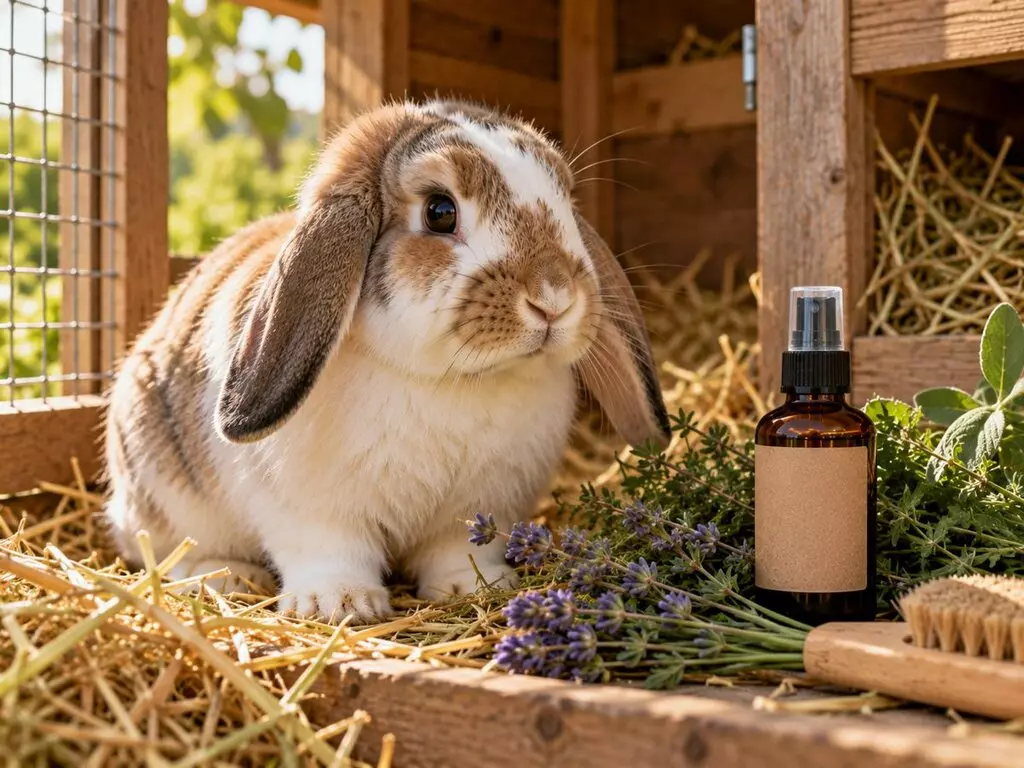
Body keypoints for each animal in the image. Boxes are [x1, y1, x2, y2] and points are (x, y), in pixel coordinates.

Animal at [102, 98, 670, 623]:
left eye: (566, 201)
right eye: (440, 211)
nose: (555, 297)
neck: (451, 381)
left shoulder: (476, 508)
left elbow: (460, 550)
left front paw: (475, 586)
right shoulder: (311, 510)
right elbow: (329, 551)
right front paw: (338, 604)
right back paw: (223, 577)